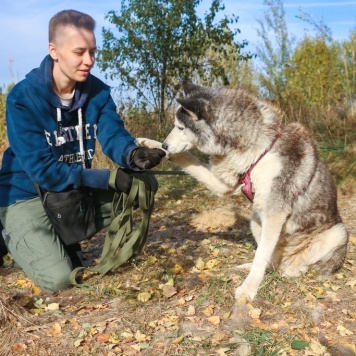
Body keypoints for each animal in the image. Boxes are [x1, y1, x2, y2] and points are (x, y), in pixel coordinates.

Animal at [136, 80, 348, 300]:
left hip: (338, 233)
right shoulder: (225, 186)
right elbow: (187, 158)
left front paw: (248, 290)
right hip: (255, 220)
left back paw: (292, 270)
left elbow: (260, 256)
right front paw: (147, 144)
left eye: (180, 127)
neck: (258, 149)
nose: (165, 143)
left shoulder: (275, 213)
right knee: (270, 261)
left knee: (299, 264)